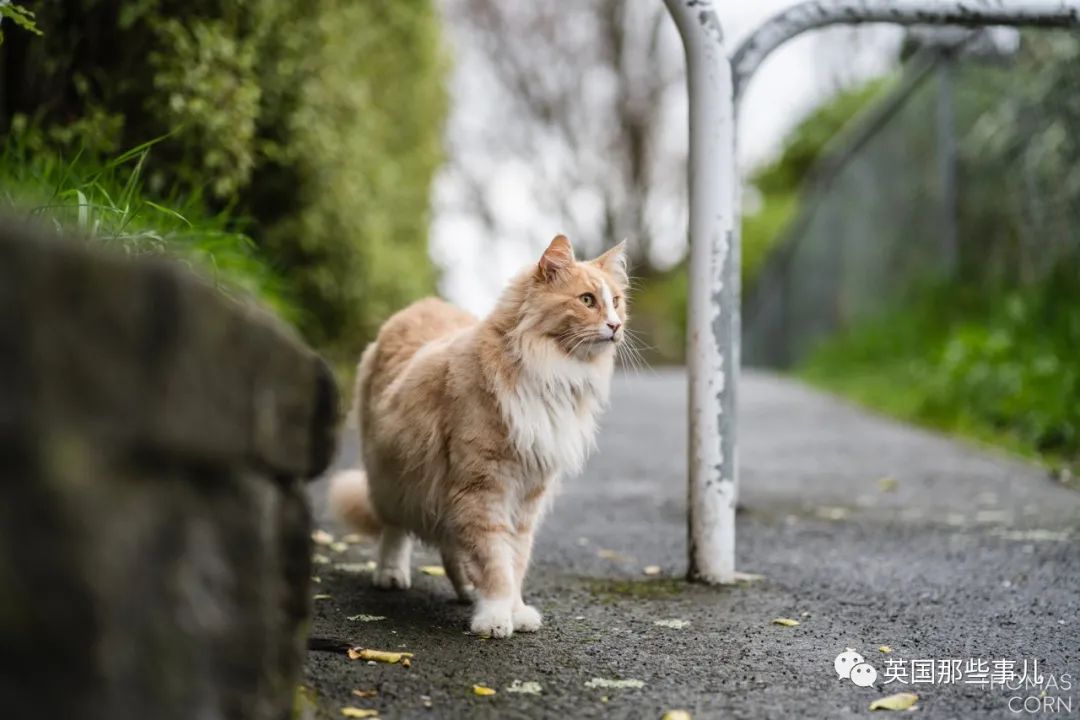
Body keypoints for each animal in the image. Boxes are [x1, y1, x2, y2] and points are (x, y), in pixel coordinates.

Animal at [326, 235, 626, 634]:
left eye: (617, 302)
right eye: (588, 300)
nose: (616, 325)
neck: (548, 372)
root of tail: (422, 304)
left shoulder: (524, 497)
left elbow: (513, 560)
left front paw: (514, 610)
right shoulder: (482, 490)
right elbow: (496, 561)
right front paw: (496, 617)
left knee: (451, 545)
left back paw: (468, 588)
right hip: (392, 479)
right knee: (395, 529)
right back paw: (391, 574)